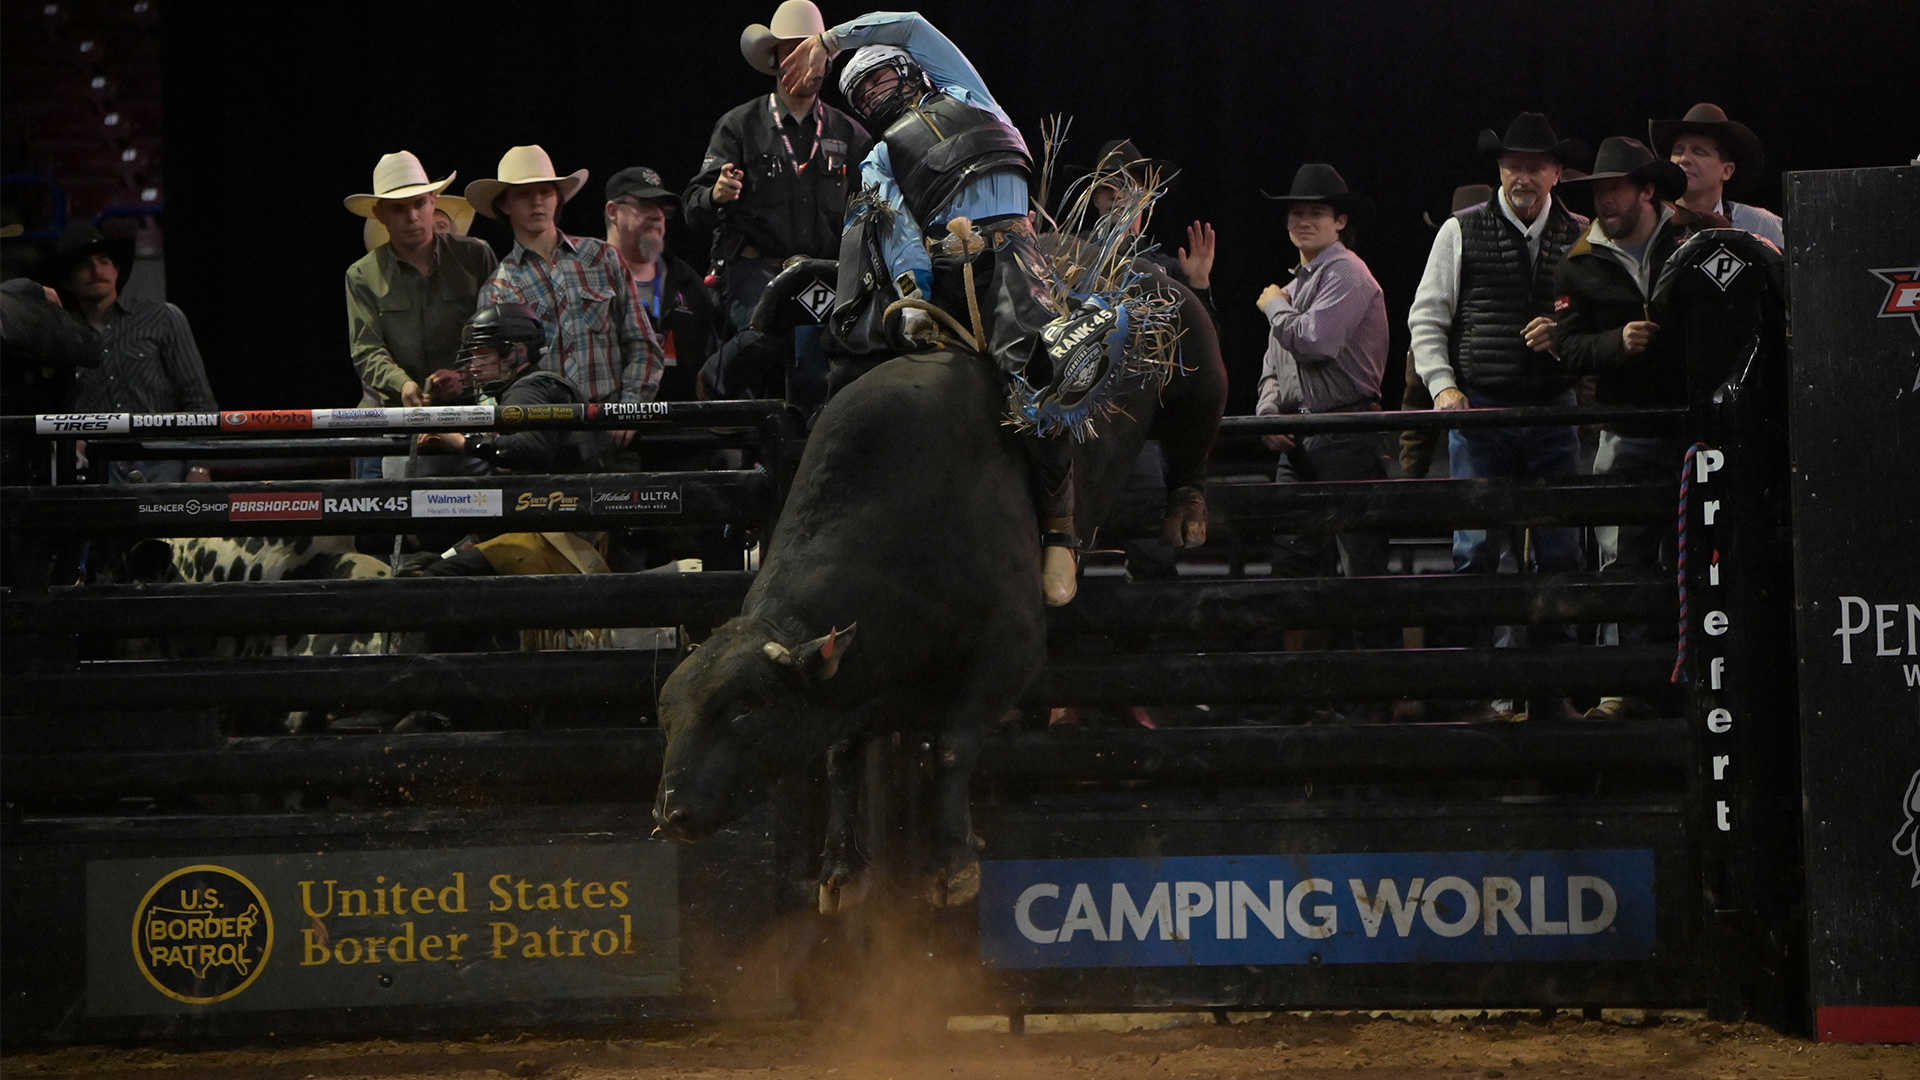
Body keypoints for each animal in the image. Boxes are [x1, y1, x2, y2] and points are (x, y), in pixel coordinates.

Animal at [651, 262, 1225, 912]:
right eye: (666, 717)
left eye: (745, 712)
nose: (671, 814)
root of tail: (1153, 272)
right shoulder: (854, 680)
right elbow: (841, 758)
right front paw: (841, 871)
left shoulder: (1009, 649)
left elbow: (951, 745)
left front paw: (952, 866)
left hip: (1196, 369)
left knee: (1194, 433)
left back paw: (1187, 514)